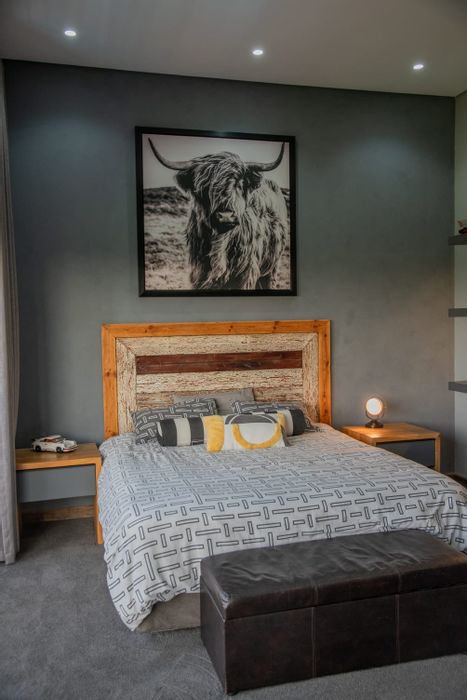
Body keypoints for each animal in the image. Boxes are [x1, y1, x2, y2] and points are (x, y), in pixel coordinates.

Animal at [148, 138, 288, 290]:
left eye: (239, 184)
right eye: (203, 186)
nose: (226, 216)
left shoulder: (247, 273)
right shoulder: (198, 274)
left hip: (272, 267)